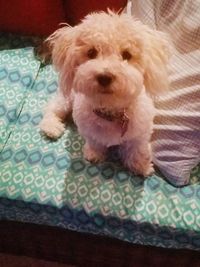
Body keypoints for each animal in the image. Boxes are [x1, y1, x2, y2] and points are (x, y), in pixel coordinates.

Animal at [39, 11, 170, 178]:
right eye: (91, 52)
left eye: (127, 55)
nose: (104, 77)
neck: (111, 113)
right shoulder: (89, 130)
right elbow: (95, 142)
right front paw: (94, 154)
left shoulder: (140, 133)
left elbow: (136, 149)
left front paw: (140, 165)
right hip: (66, 99)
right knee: (52, 108)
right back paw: (51, 127)